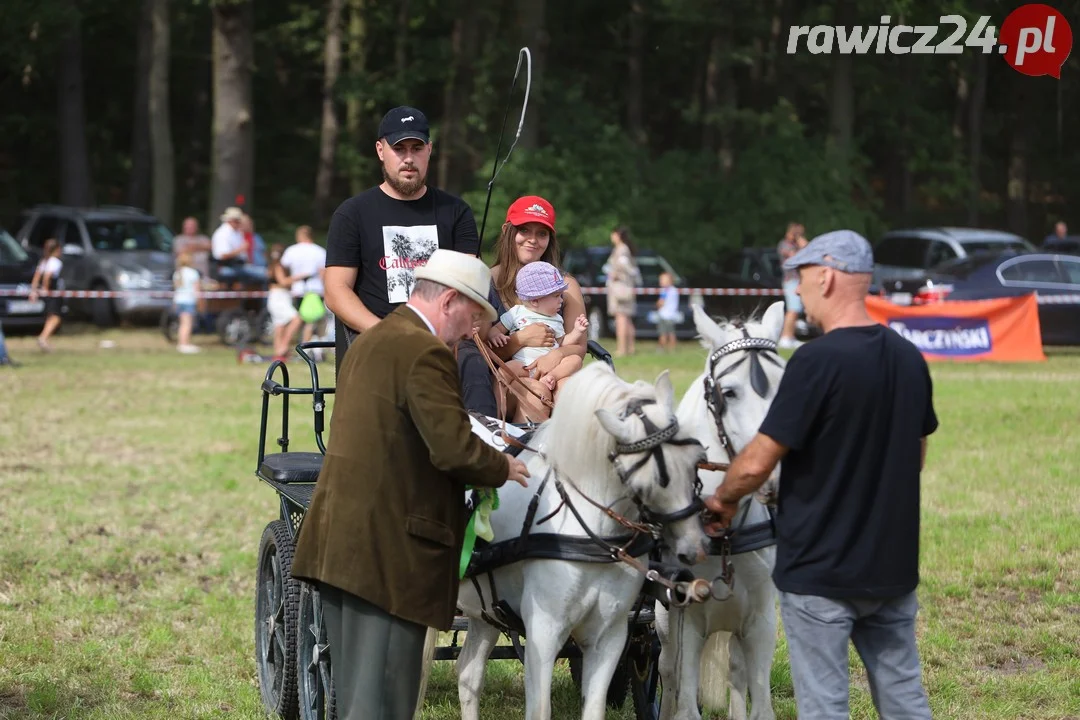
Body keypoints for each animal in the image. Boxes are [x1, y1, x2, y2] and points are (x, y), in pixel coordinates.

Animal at [416, 367, 712, 720]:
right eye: (655, 477)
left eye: (696, 458)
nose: (694, 545)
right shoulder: (543, 631)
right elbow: (540, 709)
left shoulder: (610, 635)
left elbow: (595, 707)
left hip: (486, 609)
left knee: (468, 673)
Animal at [652, 302, 790, 720]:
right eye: (729, 392)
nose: (774, 473)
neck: (722, 533)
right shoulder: (686, 623)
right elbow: (684, 703)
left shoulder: (760, 623)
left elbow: (760, 705)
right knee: (666, 669)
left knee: (736, 671)